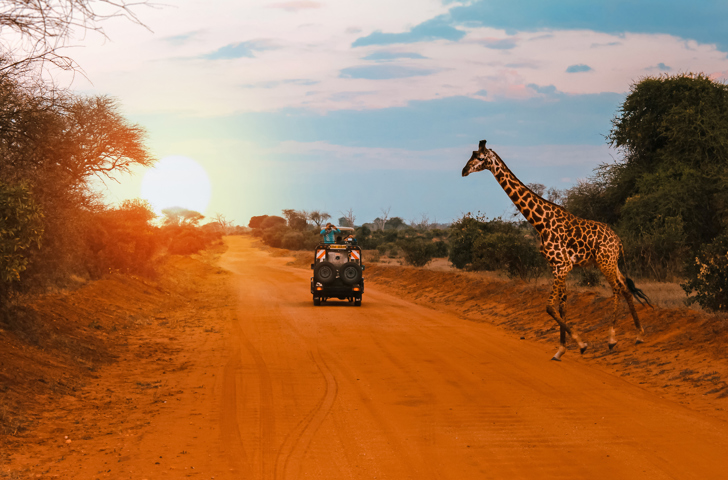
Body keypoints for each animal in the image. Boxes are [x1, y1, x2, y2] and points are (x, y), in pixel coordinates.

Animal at [464, 139, 644, 360]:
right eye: (471, 155)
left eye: (480, 157)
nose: (464, 170)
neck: (540, 223)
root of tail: (618, 240)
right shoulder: (556, 266)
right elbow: (562, 305)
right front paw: (561, 350)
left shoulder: (562, 265)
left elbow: (550, 306)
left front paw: (581, 344)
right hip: (611, 262)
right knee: (625, 286)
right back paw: (639, 335)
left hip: (605, 262)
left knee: (617, 288)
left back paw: (612, 339)